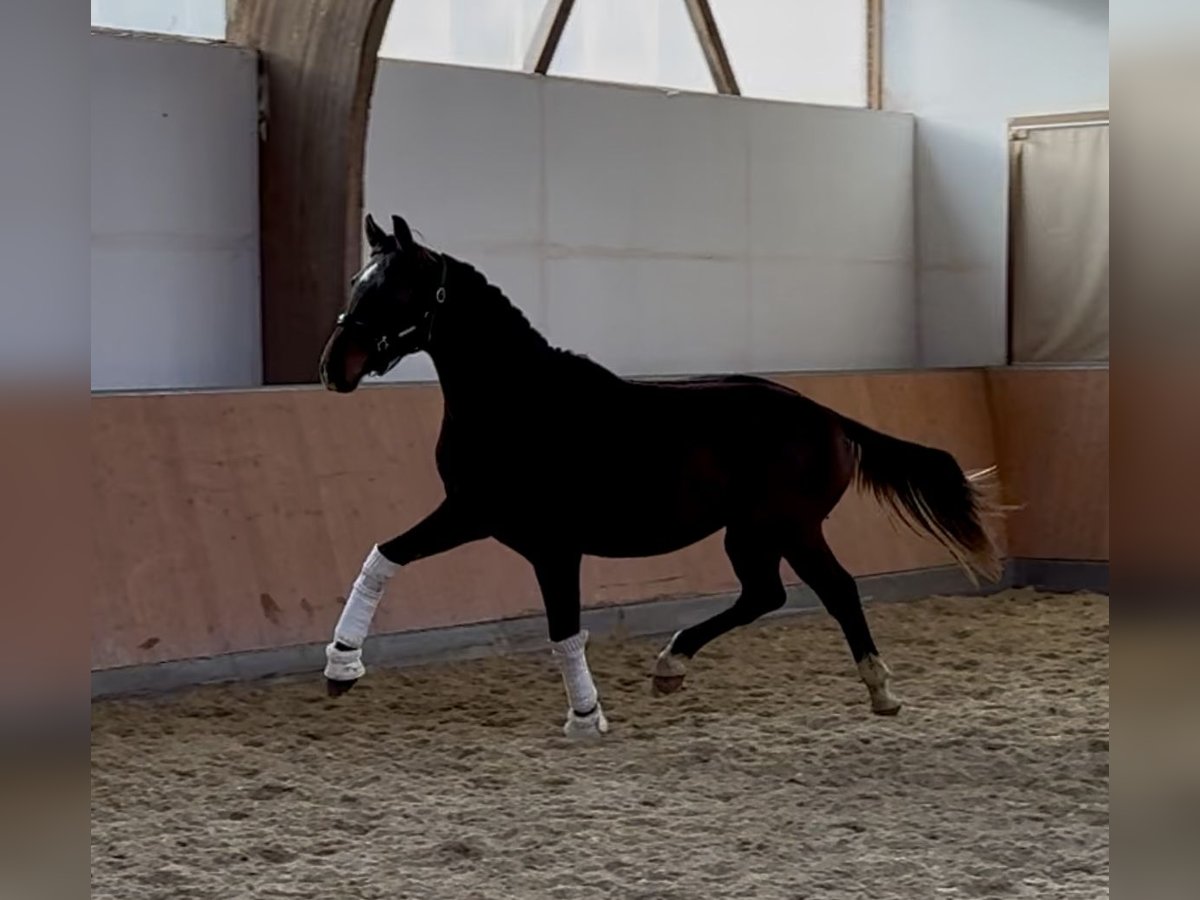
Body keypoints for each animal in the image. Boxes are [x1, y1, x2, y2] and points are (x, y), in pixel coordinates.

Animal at [319, 213, 1003, 739]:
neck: (521, 403)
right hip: (754, 534)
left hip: (785, 527)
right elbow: (384, 557)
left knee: (834, 591)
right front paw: (340, 668)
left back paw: (878, 688)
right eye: (356, 281)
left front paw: (585, 720)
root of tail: (827, 416)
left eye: (394, 289)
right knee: (770, 596)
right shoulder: (473, 514)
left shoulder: (546, 543)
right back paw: (674, 666)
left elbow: (564, 629)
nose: (333, 369)